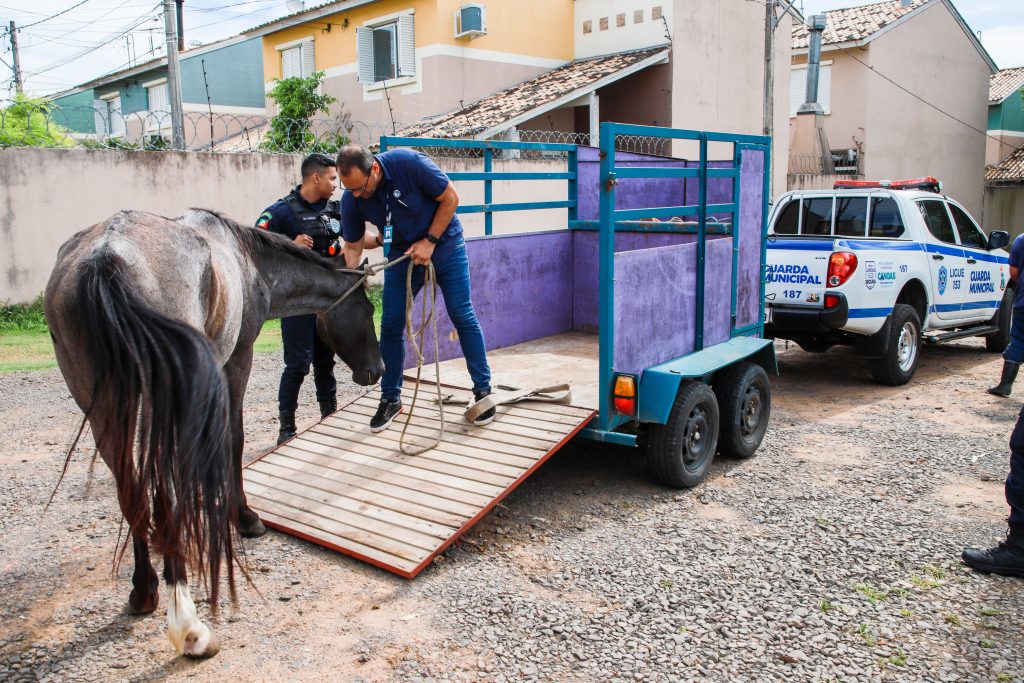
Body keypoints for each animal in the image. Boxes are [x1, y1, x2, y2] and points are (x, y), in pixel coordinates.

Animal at [41, 208, 382, 655]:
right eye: (367, 310)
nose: (377, 370)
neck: (248, 261)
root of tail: (105, 259)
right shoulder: (236, 360)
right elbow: (231, 440)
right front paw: (243, 516)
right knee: (158, 482)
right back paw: (187, 620)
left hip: (107, 411)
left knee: (131, 487)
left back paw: (145, 589)